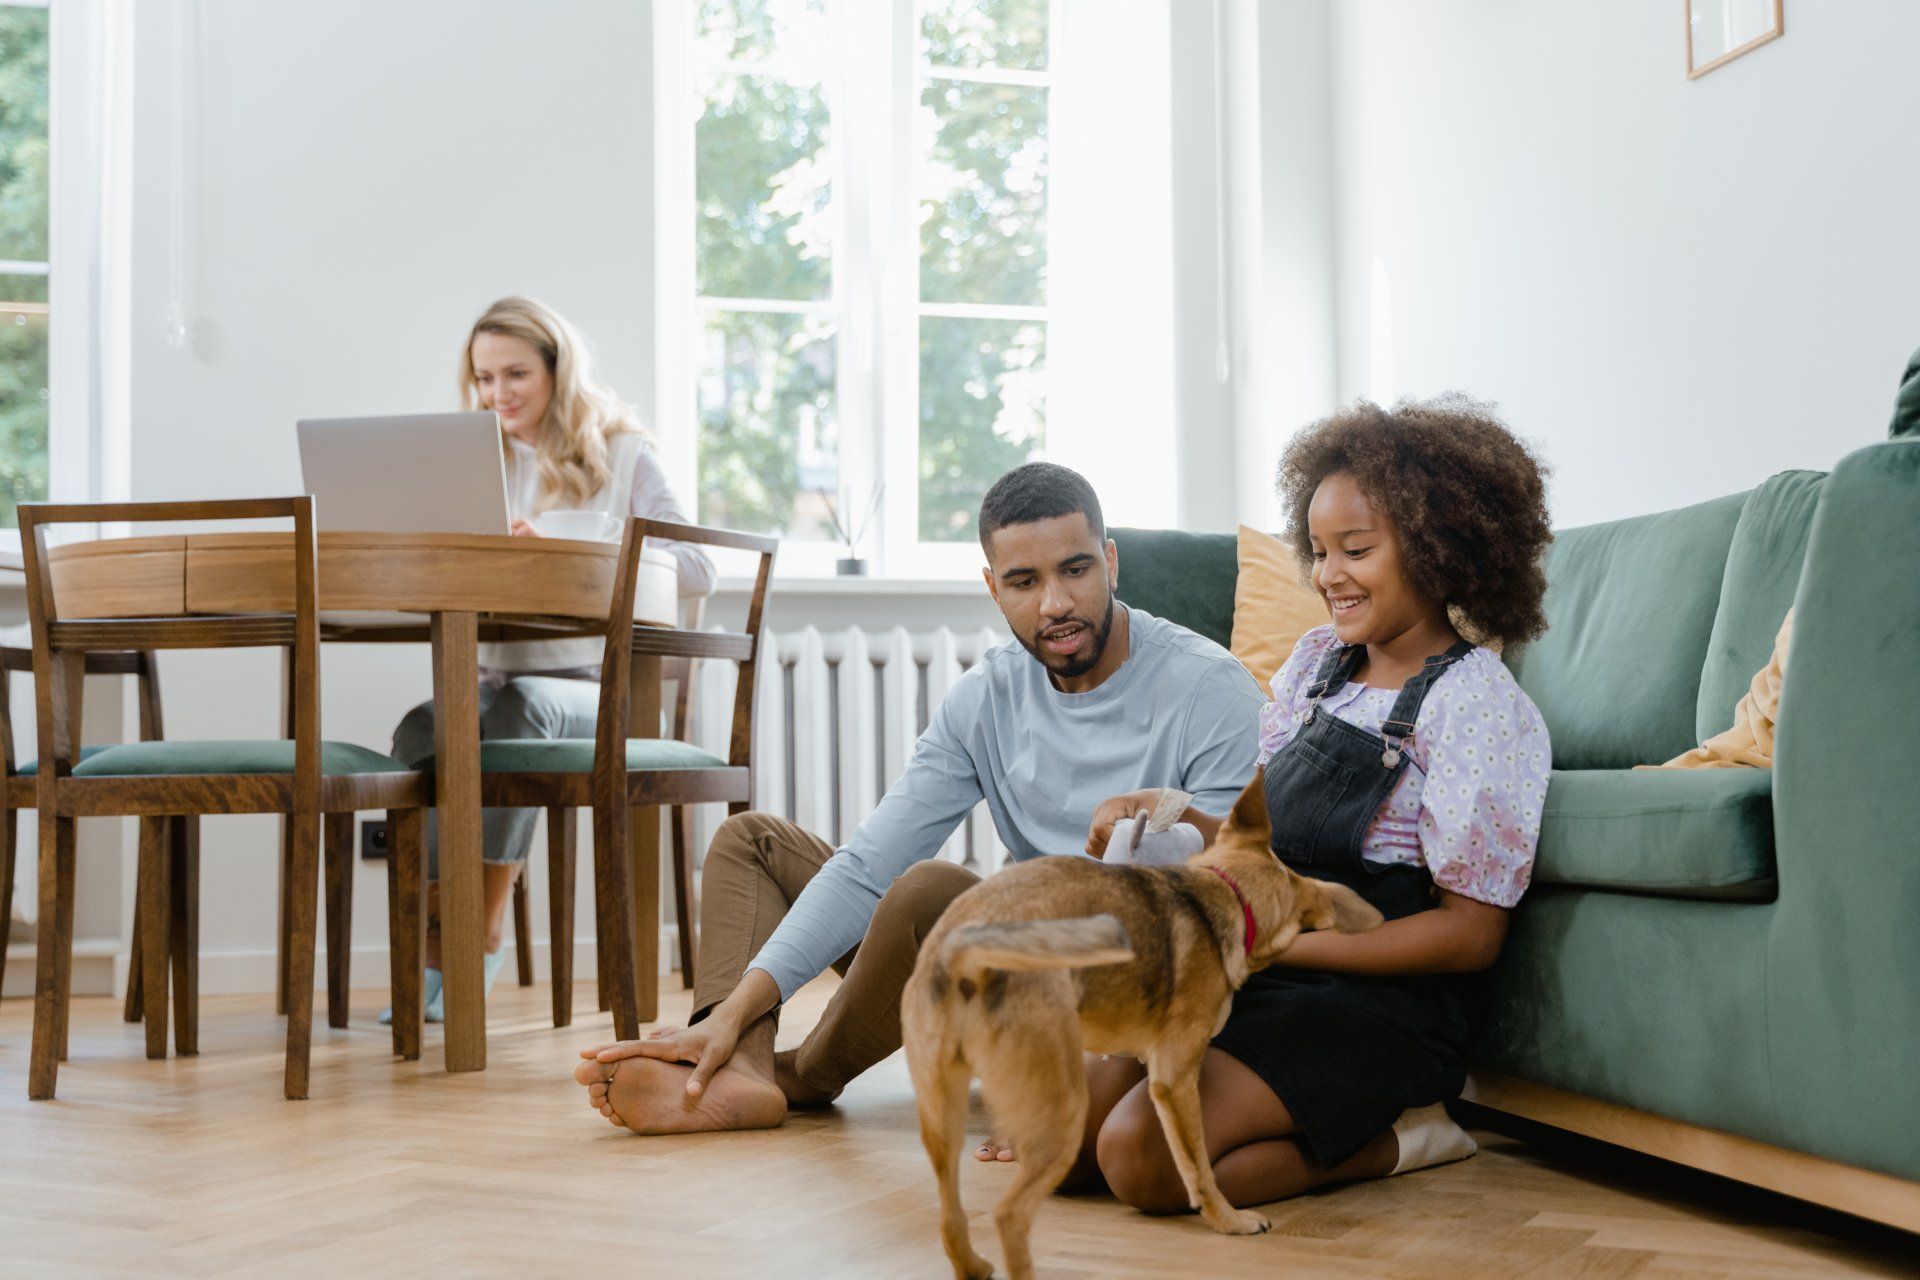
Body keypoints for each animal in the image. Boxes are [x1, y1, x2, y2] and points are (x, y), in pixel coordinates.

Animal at [898, 771, 1382, 1280]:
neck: (1225, 892)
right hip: (1061, 1112)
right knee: (1009, 1215)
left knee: (950, 1216)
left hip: (943, 1113)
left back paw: (972, 1264)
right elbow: (1198, 1167)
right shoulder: (1176, 1079)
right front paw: (1229, 1220)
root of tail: (964, 952)